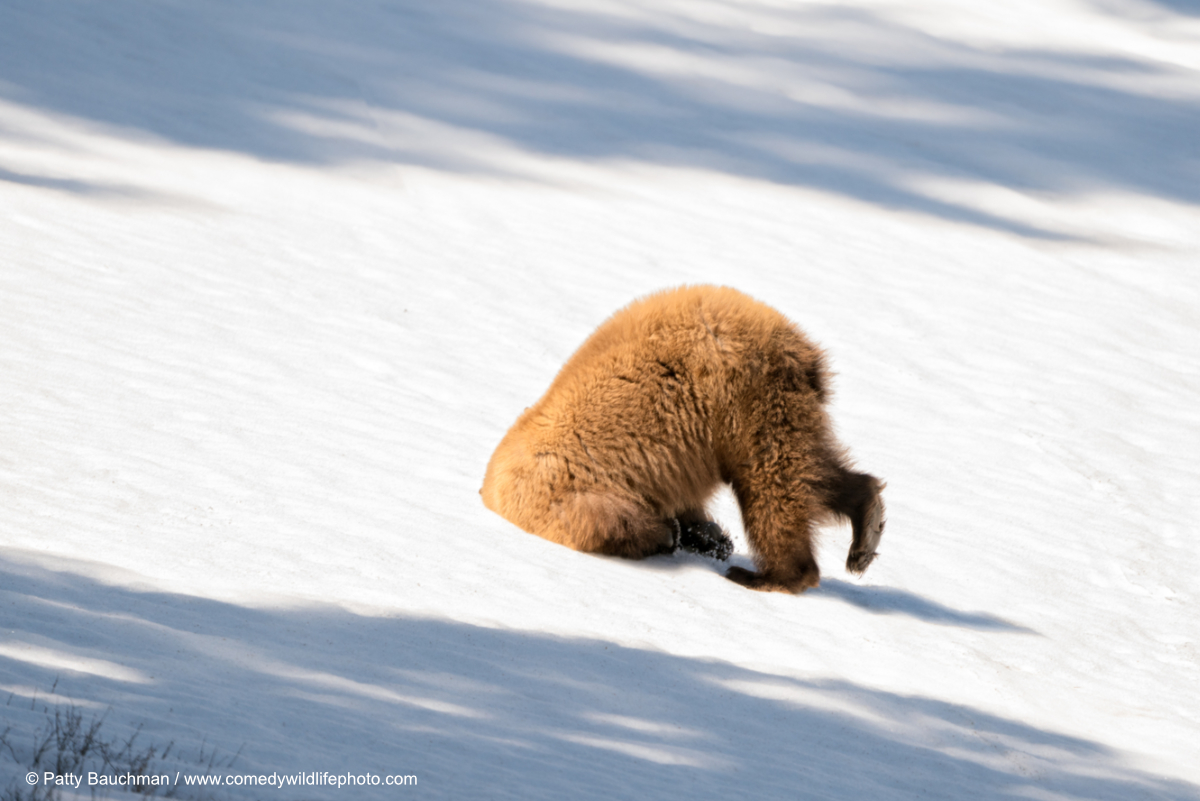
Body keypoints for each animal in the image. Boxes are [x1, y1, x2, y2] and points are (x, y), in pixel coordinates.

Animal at [482, 284, 888, 592]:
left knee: (771, 483)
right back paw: (865, 527)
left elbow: (613, 522)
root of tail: (795, 345)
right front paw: (708, 537)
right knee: (809, 469)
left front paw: (674, 536)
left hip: (743, 400)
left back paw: (769, 575)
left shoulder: (570, 492)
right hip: (781, 404)